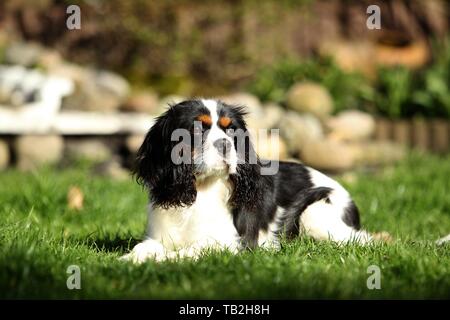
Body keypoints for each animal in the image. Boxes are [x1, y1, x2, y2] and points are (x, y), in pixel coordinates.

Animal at [122, 99, 372, 262]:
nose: (225, 144)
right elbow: (144, 247)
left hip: (315, 214)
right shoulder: (160, 235)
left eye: (231, 131)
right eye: (197, 129)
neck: (201, 188)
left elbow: (188, 251)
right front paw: (130, 259)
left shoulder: (230, 243)